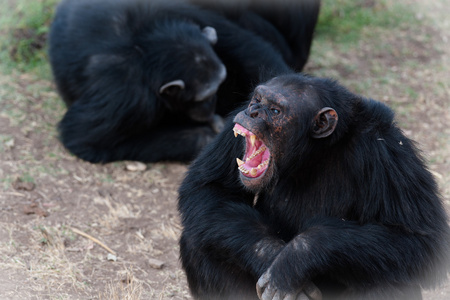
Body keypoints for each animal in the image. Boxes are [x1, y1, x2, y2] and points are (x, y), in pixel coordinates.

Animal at [48, 0, 320, 163]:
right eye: (203, 97)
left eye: (217, 87)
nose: (212, 104)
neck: (143, 45)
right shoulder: (123, 95)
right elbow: (86, 139)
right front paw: (213, 136)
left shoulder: (184, 15)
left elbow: (246, 48)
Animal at [179, 73, 450, 300]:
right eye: (257, 100)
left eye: (275, 110)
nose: (253, 112)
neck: (314, 152)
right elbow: (208, 187)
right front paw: (268, 253)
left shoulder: (389, 154)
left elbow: (418, 239)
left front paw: (293, 262)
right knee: (198, 240)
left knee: (389, 274)